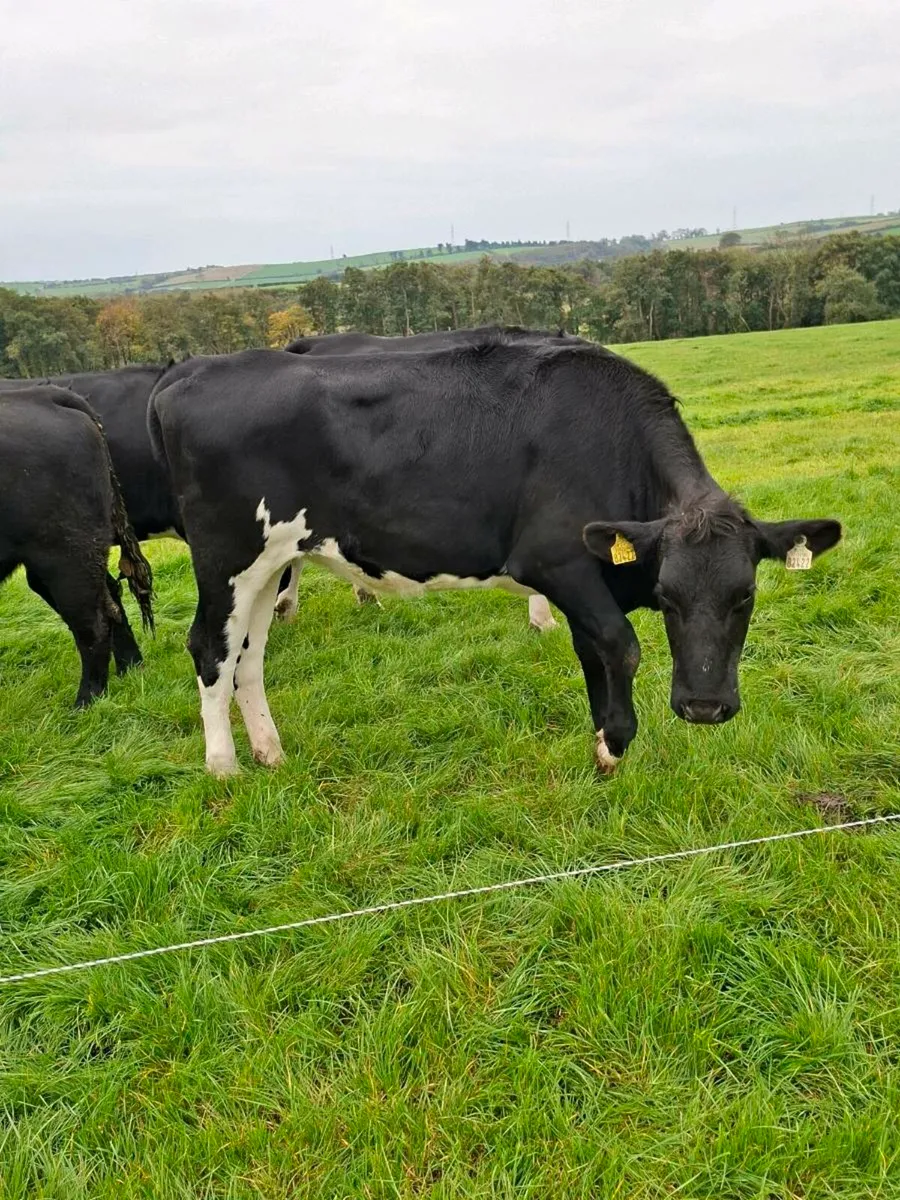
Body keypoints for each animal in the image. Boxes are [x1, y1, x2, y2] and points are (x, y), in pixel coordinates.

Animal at [1, 386, 154, 706]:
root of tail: (42, 394)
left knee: (93, 622)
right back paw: (129, 668)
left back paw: (86, 700)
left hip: (64, 557)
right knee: (111, 600)